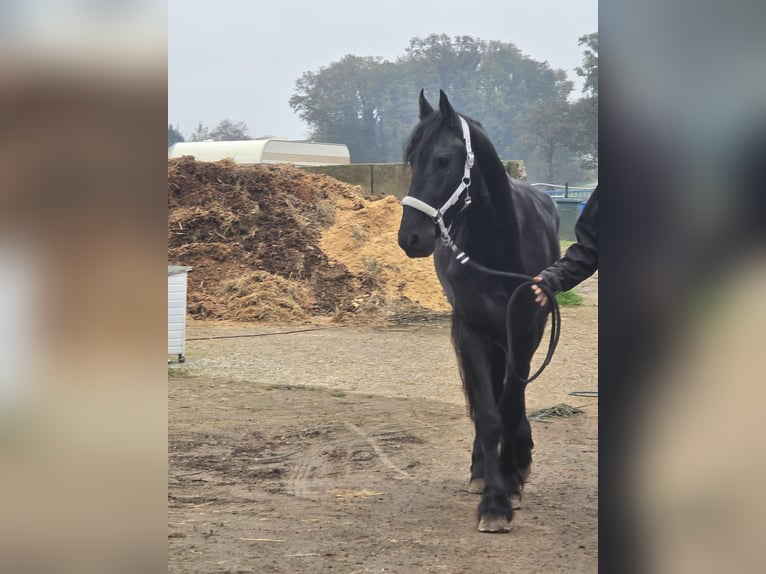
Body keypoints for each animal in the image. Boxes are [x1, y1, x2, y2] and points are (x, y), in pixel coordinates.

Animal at [400, 91, 560, 536]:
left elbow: (510, 404)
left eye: (442, 159)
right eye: (411, 159)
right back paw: (481, 471)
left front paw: (508, 484)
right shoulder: (471, 329)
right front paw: (493, 500)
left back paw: (516, 465)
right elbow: (488, 413)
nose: (410, 237)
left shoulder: (524, 330)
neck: (496, 249)